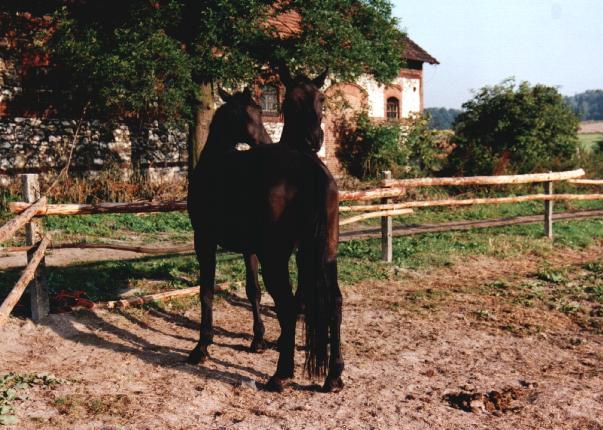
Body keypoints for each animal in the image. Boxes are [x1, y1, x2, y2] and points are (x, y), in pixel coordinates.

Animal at [188, 68, 344, 394]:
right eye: (248, 114)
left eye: (260, 112)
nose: (262, 140)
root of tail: (311, 168)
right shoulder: (250, 249)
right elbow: (253, 291)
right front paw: (257, 339)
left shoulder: (204, 241)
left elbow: (206, 291)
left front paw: (201, 347)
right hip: (324, 253)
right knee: (334, 302)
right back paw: (333, 375)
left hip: (277, 258)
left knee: (288, 305)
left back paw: (281, 373)